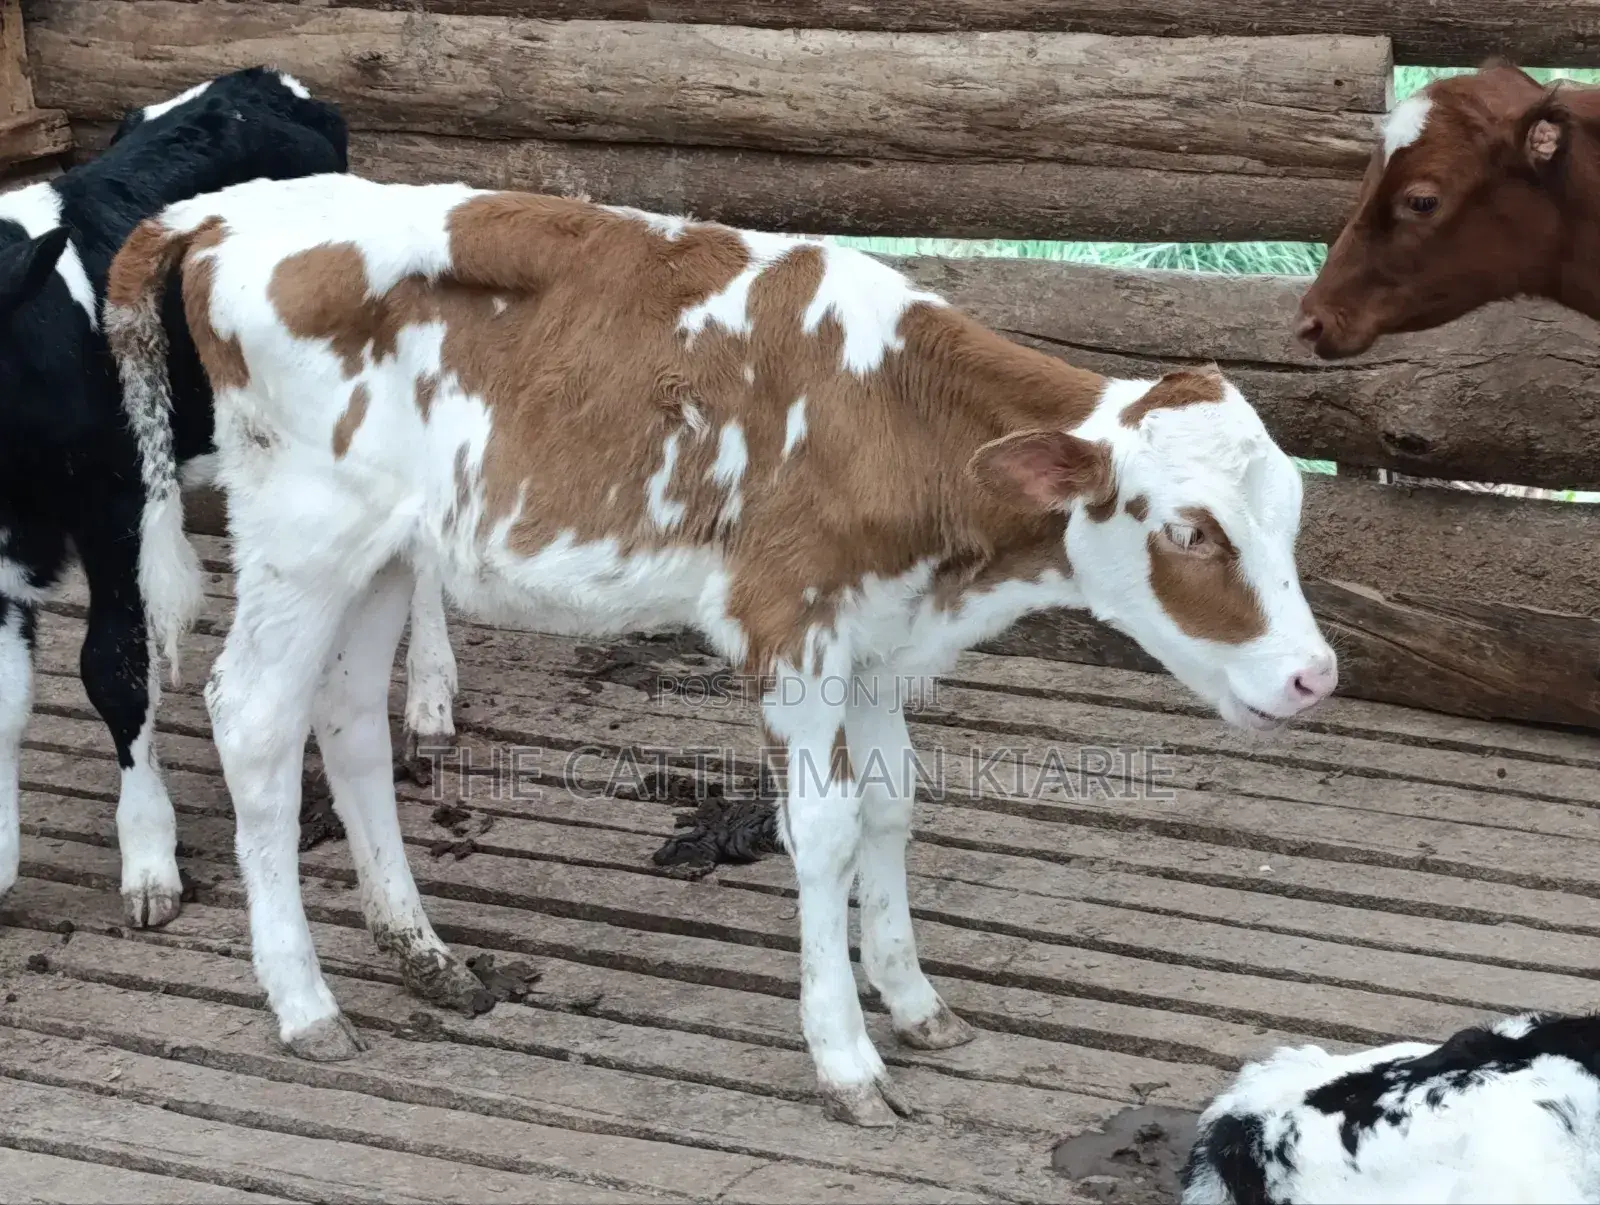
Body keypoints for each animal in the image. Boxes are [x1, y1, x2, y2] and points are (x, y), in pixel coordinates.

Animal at [0, 69, 457, 934]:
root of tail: (267, 81)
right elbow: (8, 699)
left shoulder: (116, 512)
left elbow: (113, 667)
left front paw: (149, 858)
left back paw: (430, 699)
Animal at [104, 173, 1338, 1124]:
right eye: (1191, 529)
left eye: (1290, 516)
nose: (1313, 674)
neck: (888, 414)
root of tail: (223, 210)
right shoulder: (787, 622)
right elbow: (823, 829)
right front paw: (846, 1055)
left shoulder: (876, 635)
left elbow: (892, 804)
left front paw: (915, 1000)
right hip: (304, 536)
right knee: (254, 717)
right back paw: (304, 1001)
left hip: (384, 552)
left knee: (351, 717)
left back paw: (420, 947)